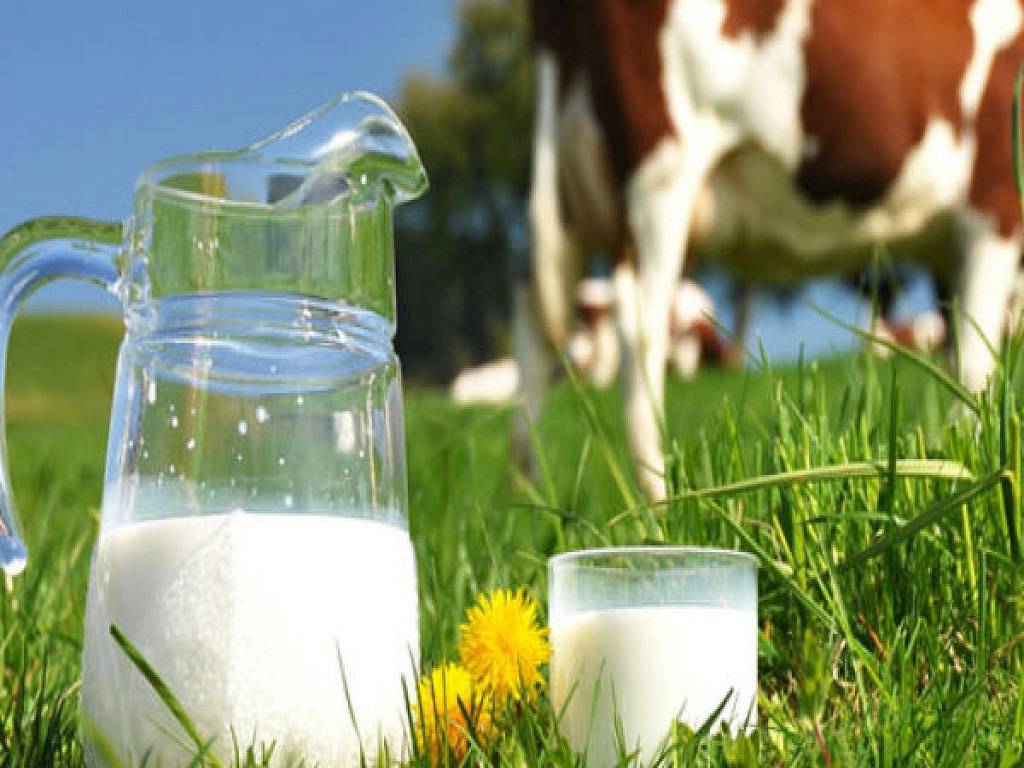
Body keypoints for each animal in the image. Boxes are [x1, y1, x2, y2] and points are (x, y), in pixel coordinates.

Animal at [524, 0, 1024, 499]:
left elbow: (959, 351)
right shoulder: (994, 205)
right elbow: (976, 363)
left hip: (570, 185)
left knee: (538, 321)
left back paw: (528, 488)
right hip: (659, 174)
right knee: (639, 328)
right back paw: (659, 501)